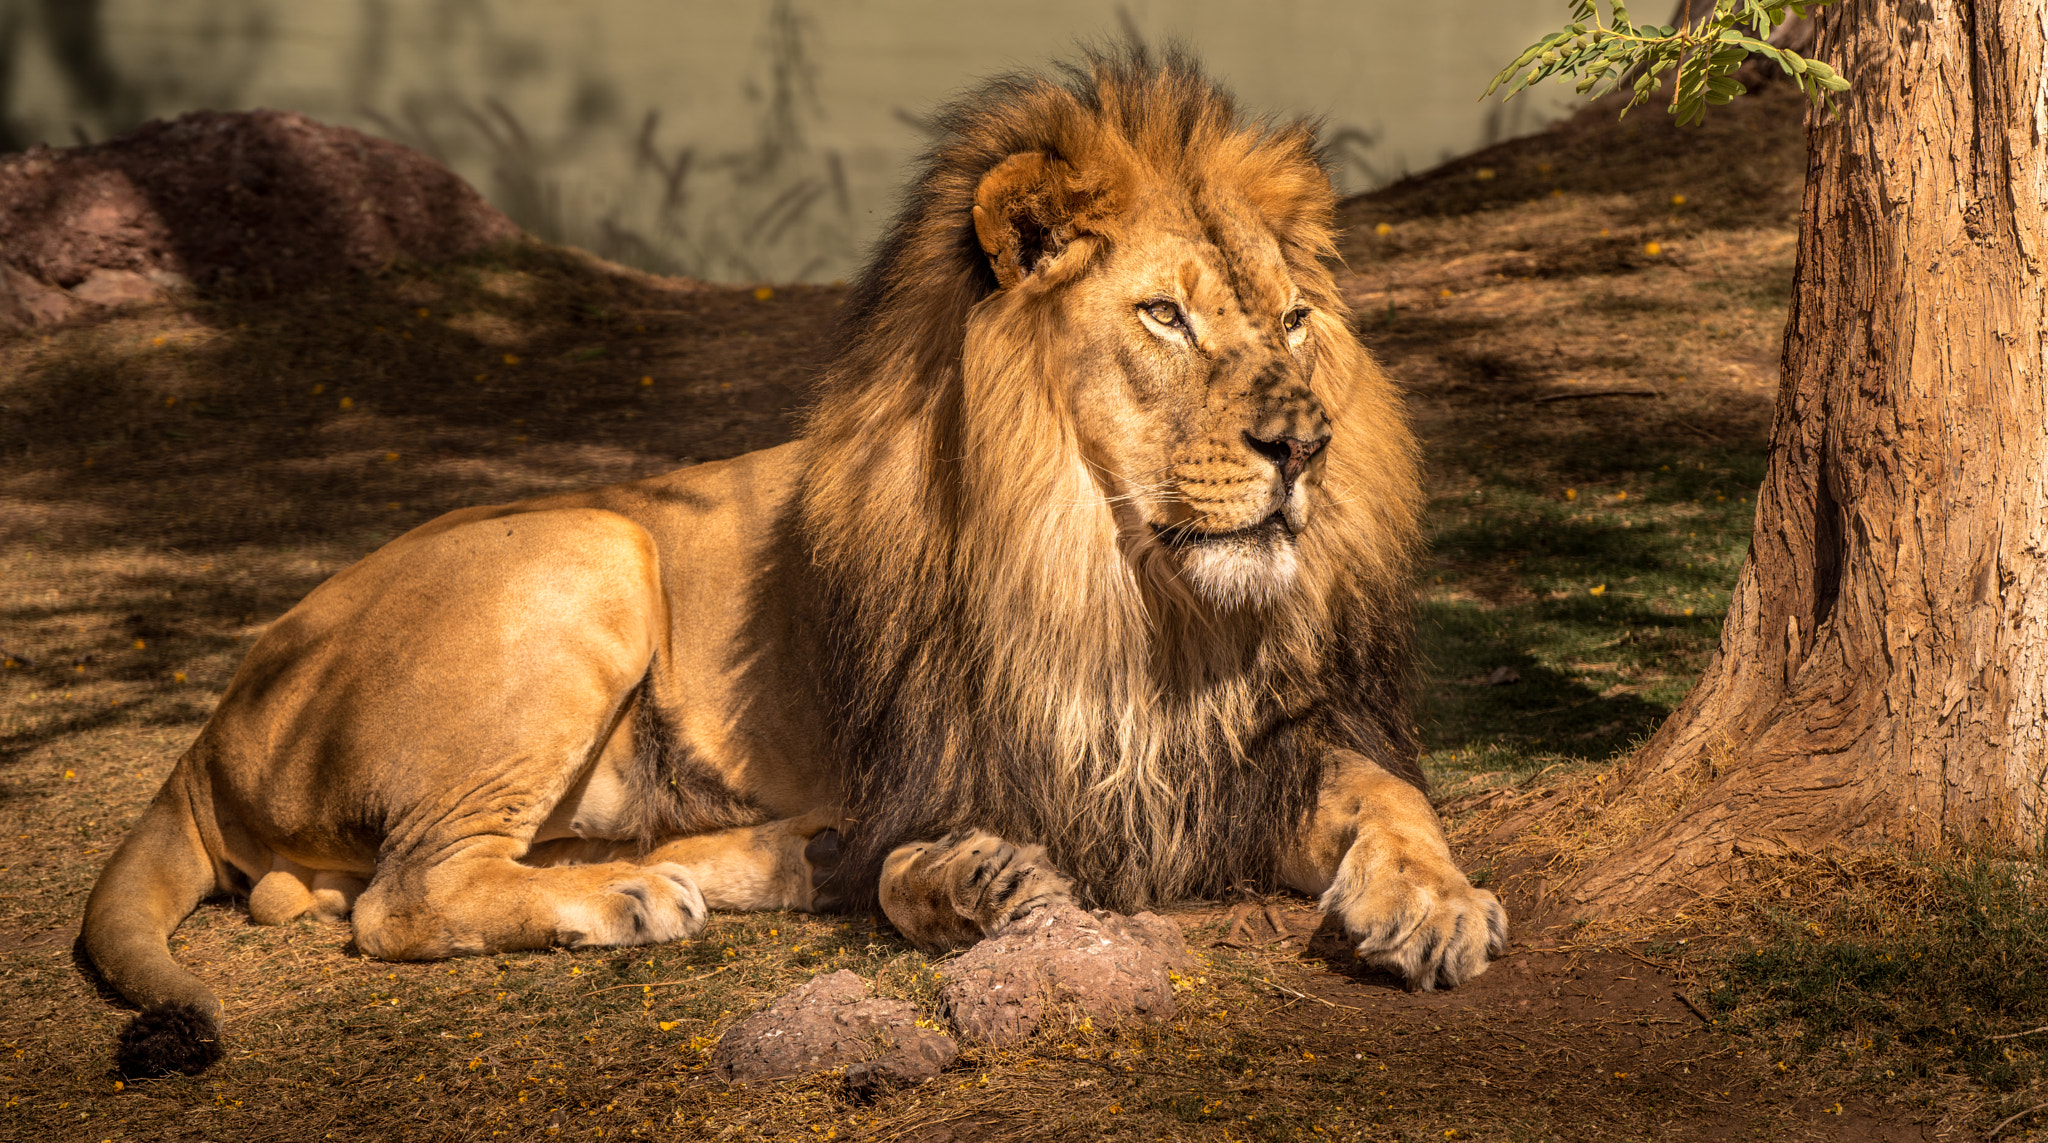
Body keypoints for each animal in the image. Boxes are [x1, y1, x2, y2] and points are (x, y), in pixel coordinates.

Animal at [82, 47, 1507, 1078]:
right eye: (1162, 315)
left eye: (1296, 319)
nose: (1304, 443)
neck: (1123, 590)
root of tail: (210, 728)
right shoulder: (944, 768)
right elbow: (908, 867)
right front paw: (976, 885)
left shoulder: (1253, 753)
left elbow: (1389, 796)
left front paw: (1435, 903)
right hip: (590, 544)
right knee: (400, 897)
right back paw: (632, 900)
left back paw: (748, 864)